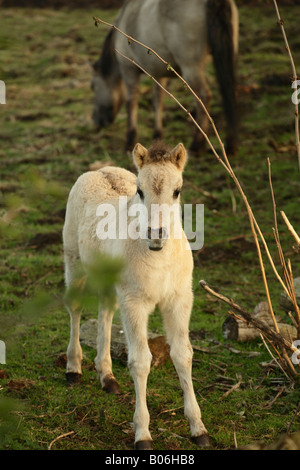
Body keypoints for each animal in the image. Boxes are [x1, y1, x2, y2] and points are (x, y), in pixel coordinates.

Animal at [91, 0, 239, 154]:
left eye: (93, 86)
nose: (96, 120)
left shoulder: (128, 70)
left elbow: (131, 103)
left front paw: (130, 140)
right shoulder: (159, 74)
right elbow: (158, 101)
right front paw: (157, 135)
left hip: (191, 68)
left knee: (203, 97)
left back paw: (197, 144)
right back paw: (230, 143)